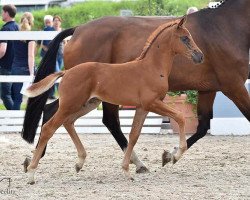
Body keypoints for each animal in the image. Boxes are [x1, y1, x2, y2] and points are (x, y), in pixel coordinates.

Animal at [24, 16, 203, 184]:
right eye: (185, 38)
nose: (200, 56)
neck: (151, 67)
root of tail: (66, 72)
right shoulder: (152, 103)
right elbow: (180, 117)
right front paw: (175, 156)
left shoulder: (143, 107)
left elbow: (134, 135)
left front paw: (127, 169)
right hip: (70, 105)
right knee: (49, 127)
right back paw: (32, 173)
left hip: (88, 104)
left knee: (68, 122)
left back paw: (79, 162)